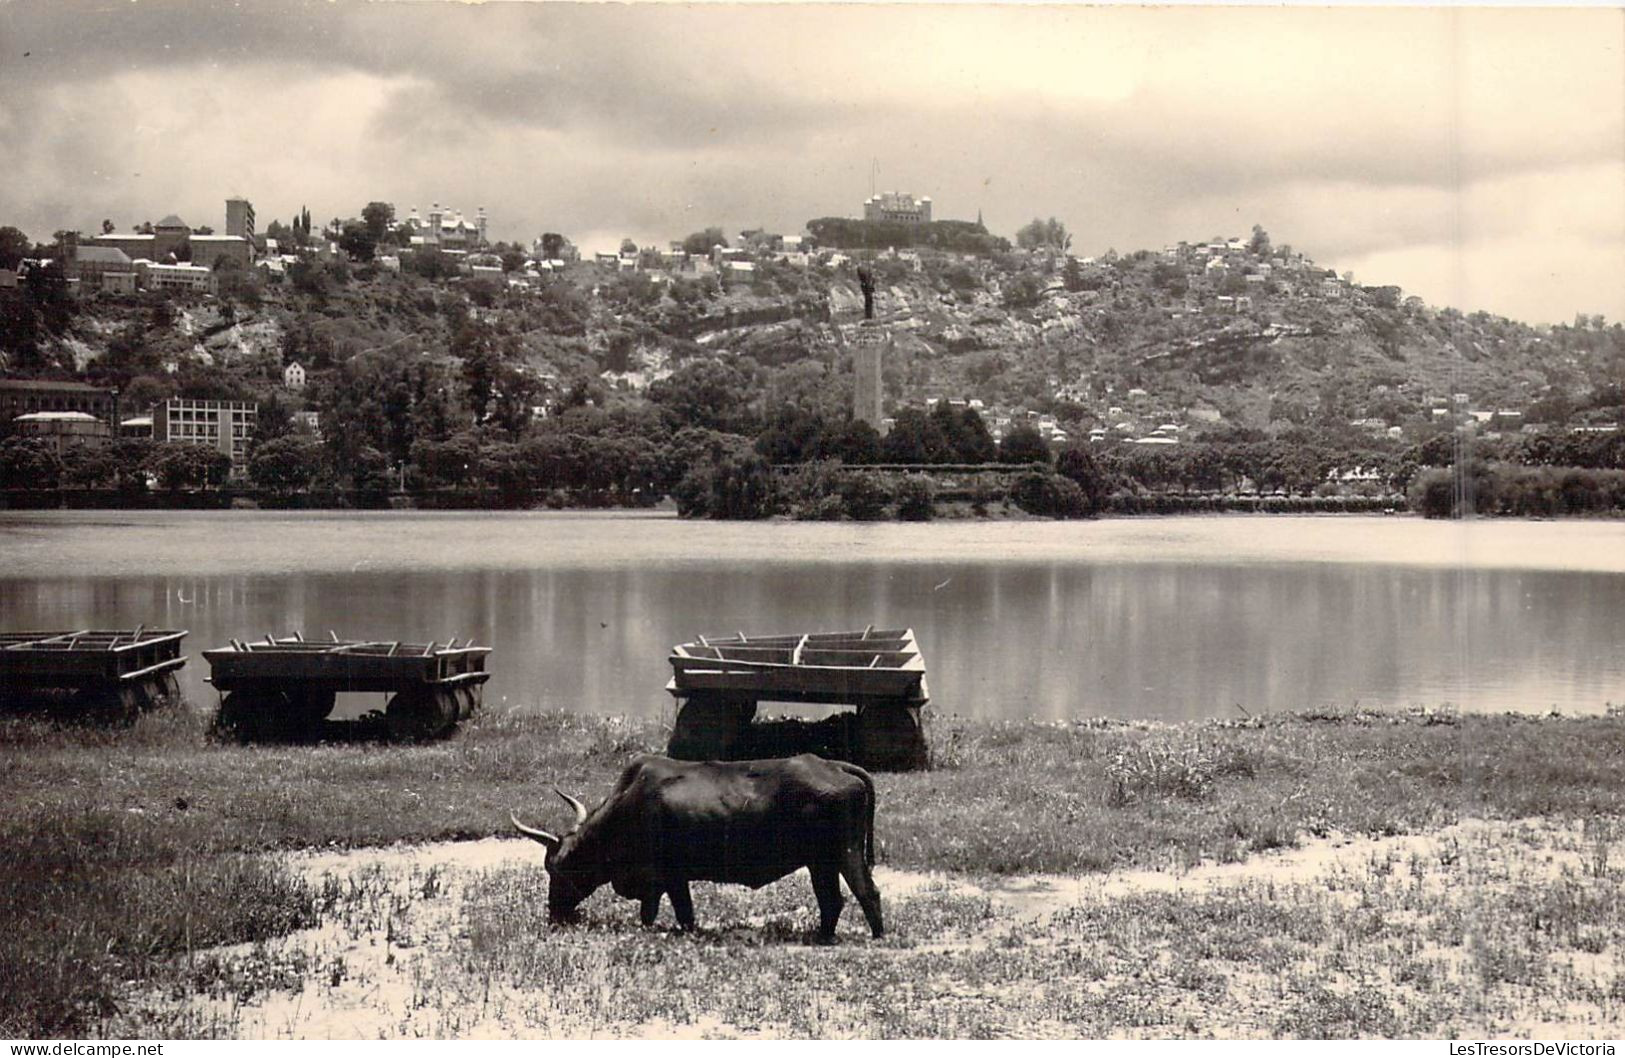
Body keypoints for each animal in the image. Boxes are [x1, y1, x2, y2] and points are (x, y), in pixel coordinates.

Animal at [513, 754, 884, 942]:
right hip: (820, 862)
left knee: (867, 892)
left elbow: (668, 913)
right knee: (832, 900)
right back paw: (822, 936)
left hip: (843, 853)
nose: (554, 912)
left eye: (557, 869)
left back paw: (876, 936)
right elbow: (668, 913)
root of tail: (831, 765)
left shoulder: (666, 877)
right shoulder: (667, 882)